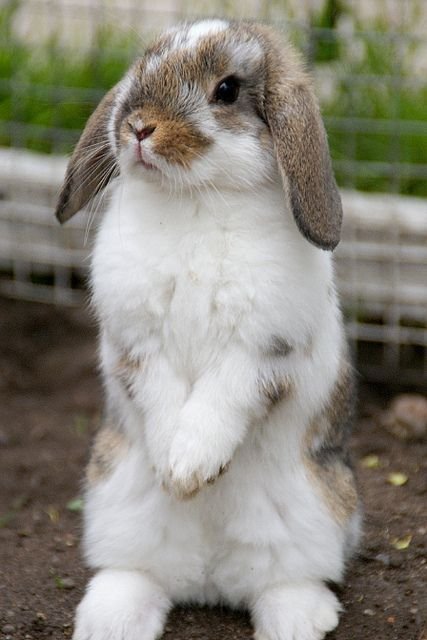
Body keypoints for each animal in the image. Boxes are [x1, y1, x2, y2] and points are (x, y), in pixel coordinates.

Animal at [56, 19, 361, 640]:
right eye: (140, 71)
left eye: (226, 90)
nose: (138, 126)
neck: (196, 200)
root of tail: (210, 580)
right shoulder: (138, 347)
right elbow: (163, 400)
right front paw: (176, 475)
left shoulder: (262, 352)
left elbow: (219, 402)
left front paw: (190, 469)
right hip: (111, 502)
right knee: (135, 576)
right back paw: (108, 620)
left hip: (318, 513)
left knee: (288, 582)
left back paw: (299, 618)